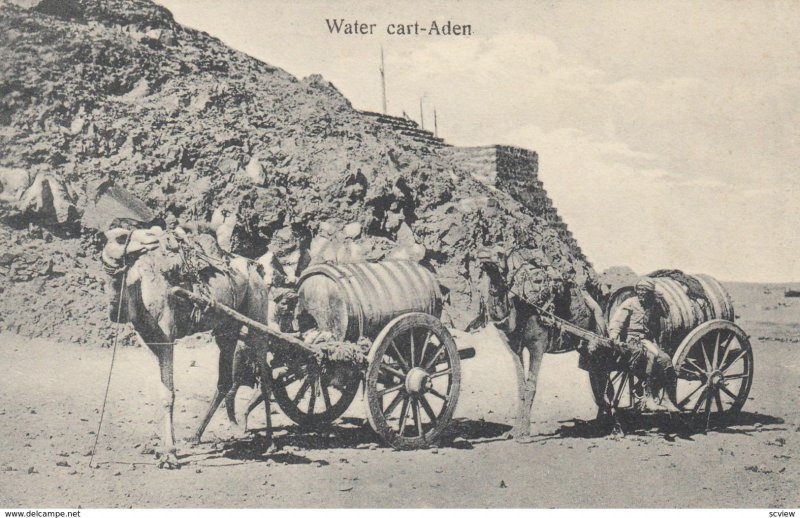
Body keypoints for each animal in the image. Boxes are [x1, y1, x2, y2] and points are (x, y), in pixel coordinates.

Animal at [101, 228, 272, 472]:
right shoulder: (149, 340)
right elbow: (161, 389)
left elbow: (168, 394)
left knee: (265, 378)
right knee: (225, 380)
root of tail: (255, 268)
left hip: (258, 315)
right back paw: (194, 436)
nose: (152, 238)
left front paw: (169, 455)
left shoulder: (167, 337)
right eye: (122, 237)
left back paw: (270, 442)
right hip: (227, 327)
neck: (139, 287)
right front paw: (161, 447)